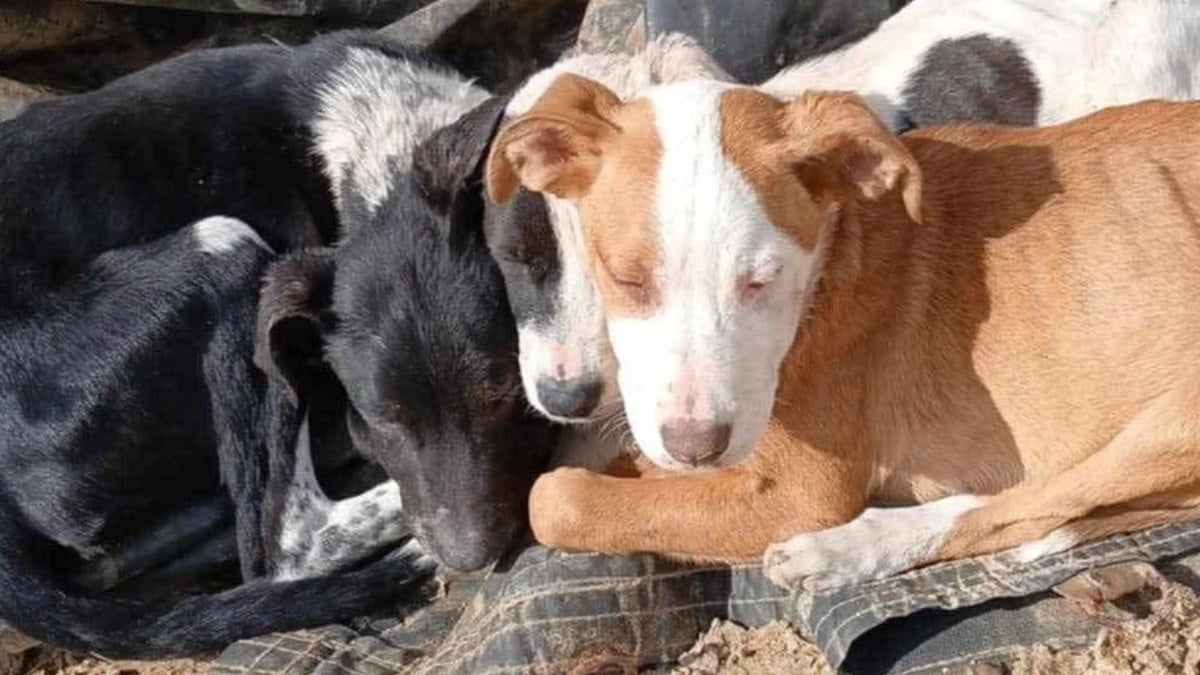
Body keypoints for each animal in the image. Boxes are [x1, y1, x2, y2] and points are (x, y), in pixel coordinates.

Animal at [0, 31, 552, 658]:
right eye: (380, 419)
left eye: (501, 391)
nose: (470, 558)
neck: (375, 164)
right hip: (226, 253)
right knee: (286, 542)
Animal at [482, 73, 1200, 586]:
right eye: (627, 279)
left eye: (762, 279)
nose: (696, 447)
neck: (835, 254)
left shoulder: (800, 491)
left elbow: (554, 497)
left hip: (1168, 425)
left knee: (1027, 506)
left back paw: (845, 550)